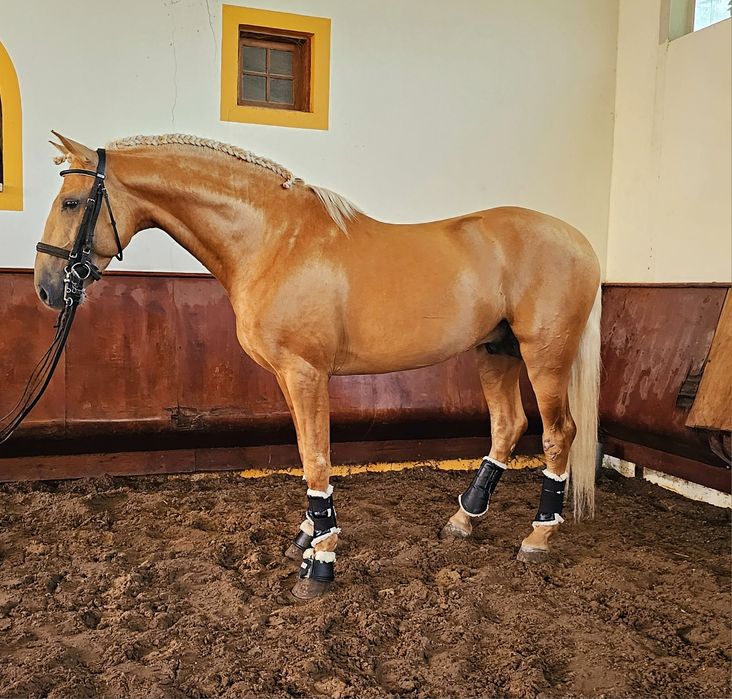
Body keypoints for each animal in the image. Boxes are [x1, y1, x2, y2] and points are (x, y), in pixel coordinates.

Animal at [35, 132, 601, 600]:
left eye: (71, 201)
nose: (45, 287)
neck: (274, 241)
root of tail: (580, 241)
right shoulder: (290, 377)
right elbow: (308, 454)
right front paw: (308, 536)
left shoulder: (305, 373)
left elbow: (316, 456)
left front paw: (320, 564)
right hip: (495, 351)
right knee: (508, 425)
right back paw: (463, 520)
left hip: (544, 356)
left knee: (558, 433)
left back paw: (538, 536)